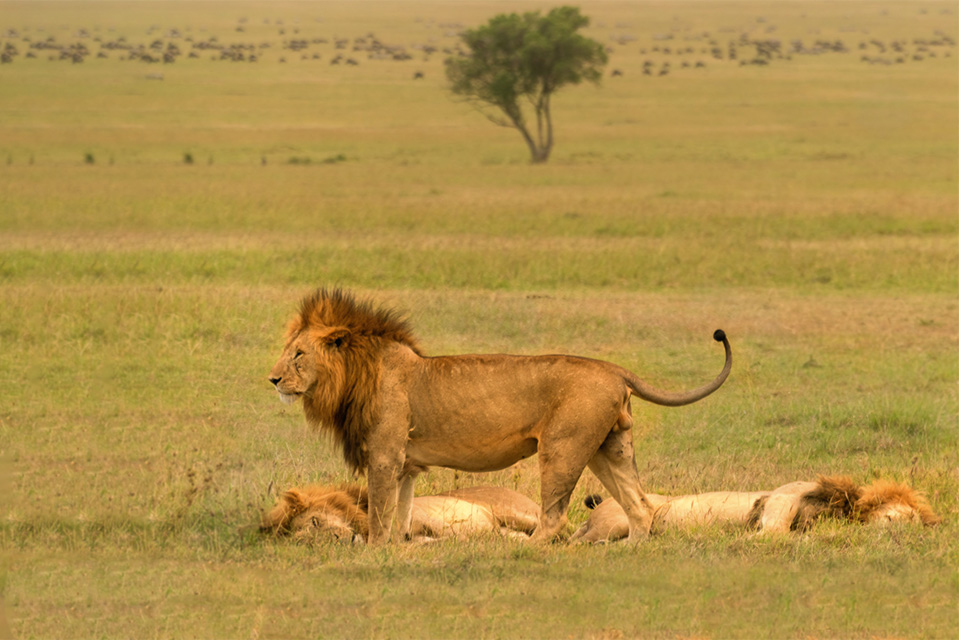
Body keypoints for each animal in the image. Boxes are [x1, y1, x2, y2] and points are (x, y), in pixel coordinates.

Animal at [266, 290, 732, 544]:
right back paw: (630, 548)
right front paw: (399, 547)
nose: (272, 379)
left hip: (563, 447)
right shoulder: (407, 466)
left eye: (299, 354)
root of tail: (614, 369)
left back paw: (522, 549)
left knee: (555, 516)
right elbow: (400, 512)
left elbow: (379, 514)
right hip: (608, 447)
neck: (355, 375)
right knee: (640, 506)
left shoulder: (384, 456)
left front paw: (373, 553)